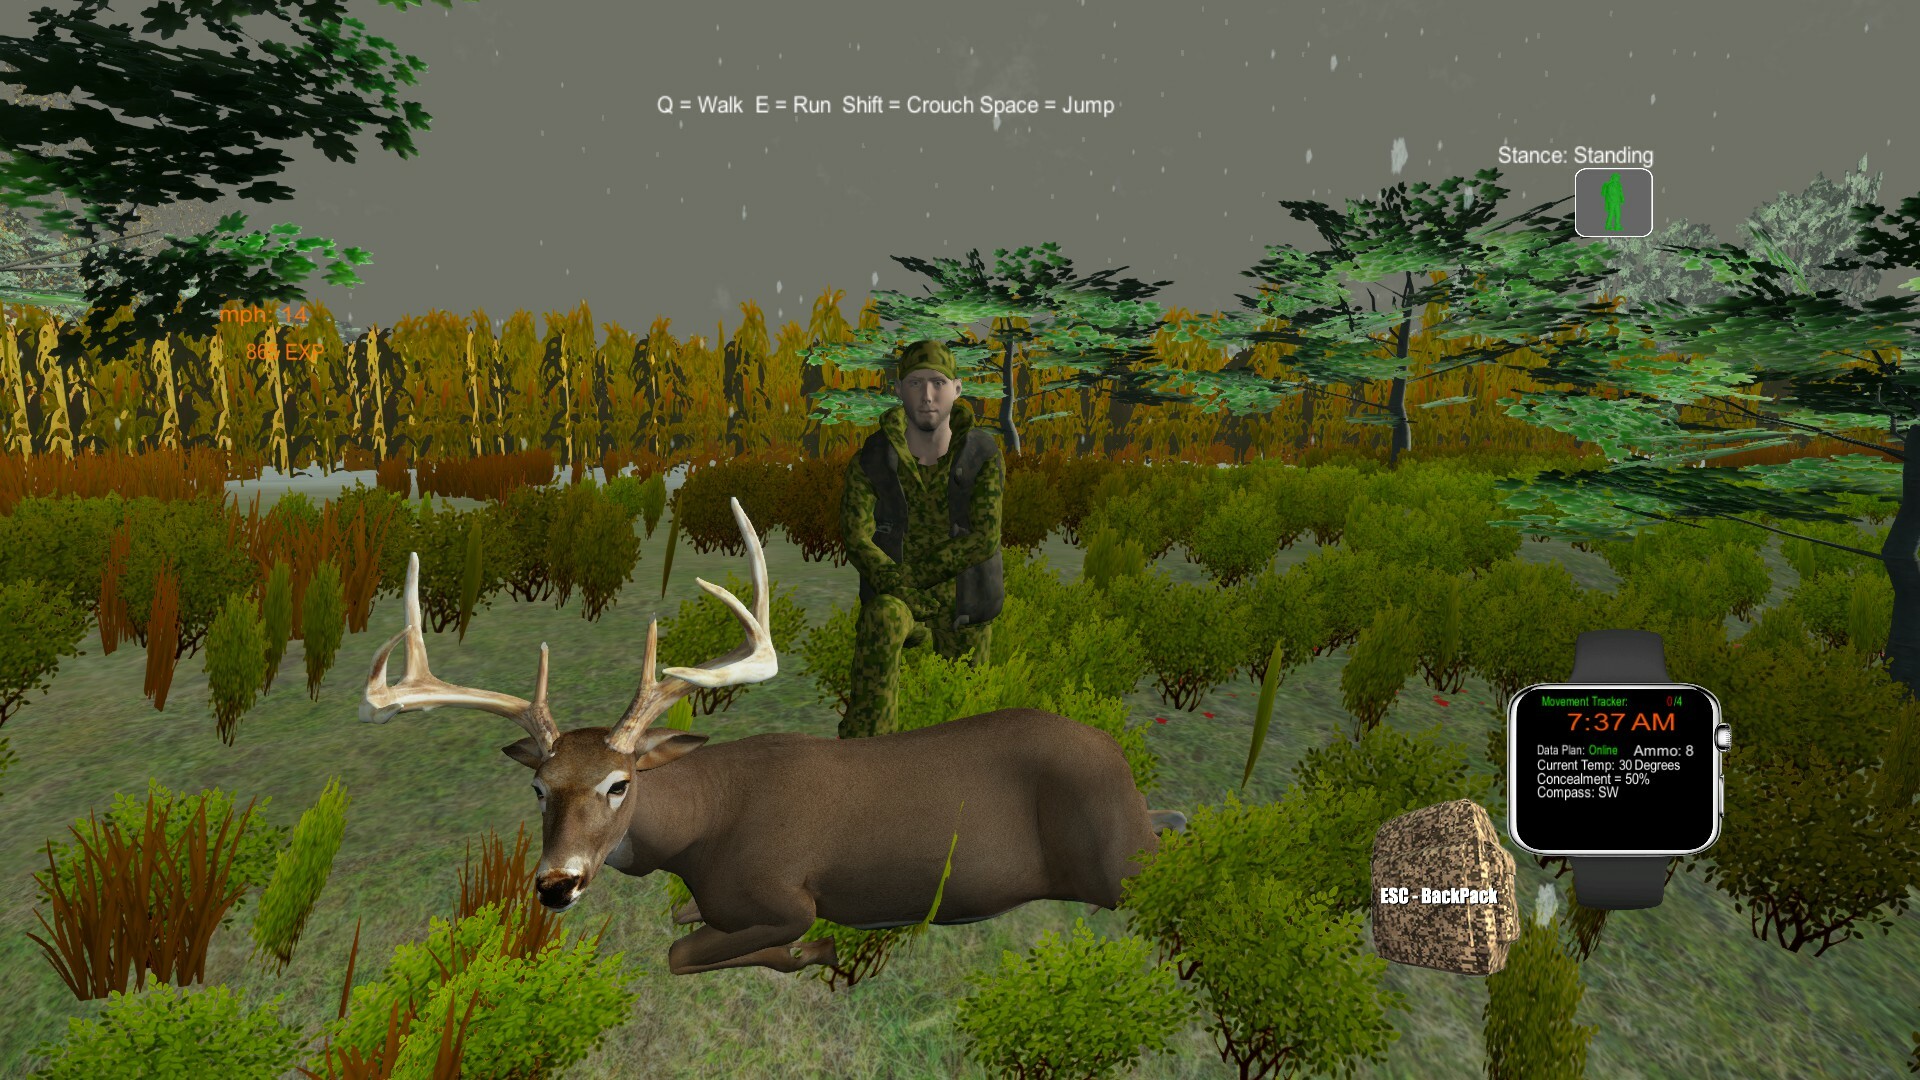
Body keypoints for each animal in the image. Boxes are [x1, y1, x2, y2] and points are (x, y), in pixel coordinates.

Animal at [362, 496, 1185, 975]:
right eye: (538, 787)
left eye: (619, 782)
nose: (554, 884)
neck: (700, 830)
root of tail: (1117, 754)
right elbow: (682, 921)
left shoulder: (788, 895)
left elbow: (683, 950)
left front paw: (814, 950)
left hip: (1120, 868)